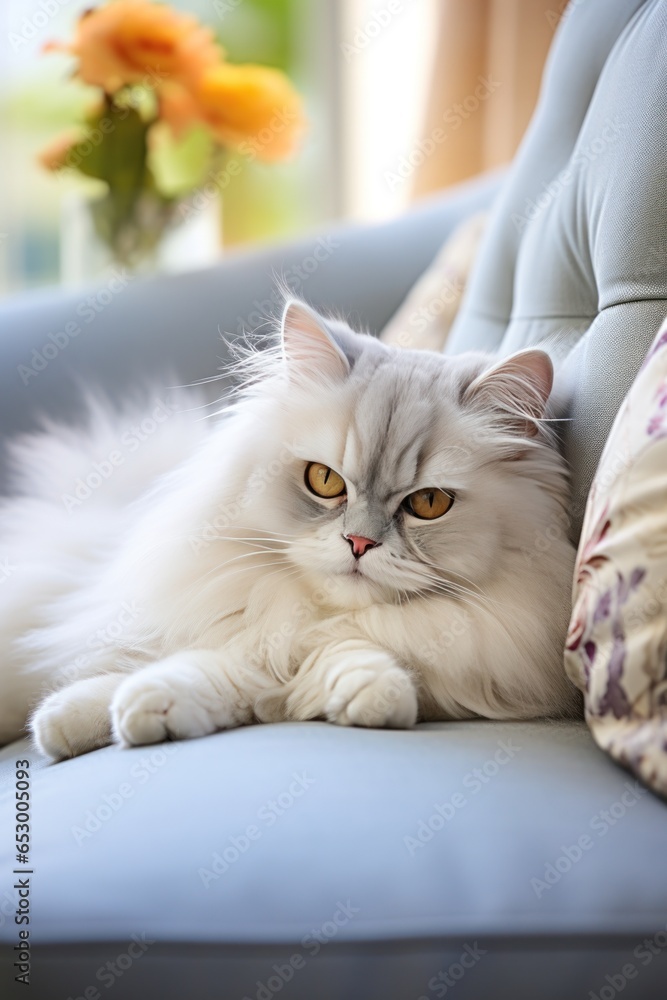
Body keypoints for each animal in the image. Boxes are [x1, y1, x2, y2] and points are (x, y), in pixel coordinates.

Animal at [0, 296, 580, 756]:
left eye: (429, 503)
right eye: (324, 481)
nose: (359, 542)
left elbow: (333, 657)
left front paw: (368, 691)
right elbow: (183, 660)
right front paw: (68, 721)